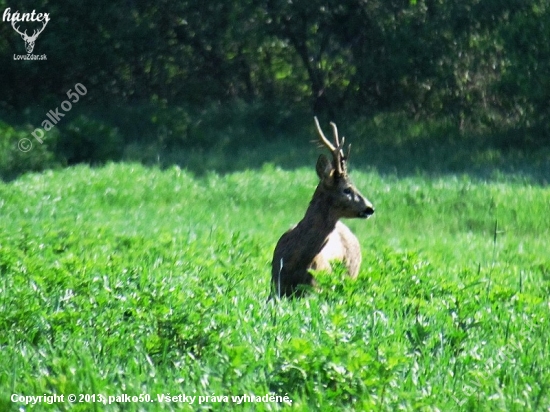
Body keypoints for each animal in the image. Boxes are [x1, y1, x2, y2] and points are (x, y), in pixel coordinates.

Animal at [272, 117, 376, 298]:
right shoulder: (275, 286)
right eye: (347, 189)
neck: (296, 260)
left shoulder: (314, 288)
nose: (369, 208)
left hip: (351, 273)